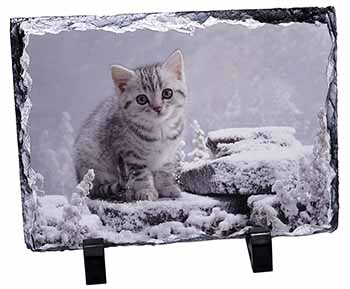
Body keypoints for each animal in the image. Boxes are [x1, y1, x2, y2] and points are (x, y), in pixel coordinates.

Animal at [74, 50, 187, 200]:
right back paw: (128, 192)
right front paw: (146, 191)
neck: (160, 131)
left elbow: (165, 172)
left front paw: (167, 187)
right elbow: (142, 175)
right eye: (142, 99)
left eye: (167, 93)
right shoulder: (131, 155)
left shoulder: (168, 155)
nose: (157, 107)